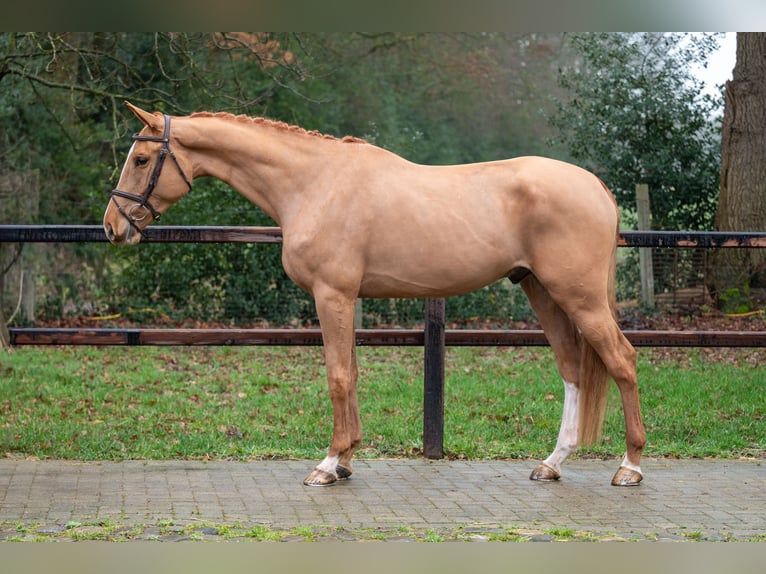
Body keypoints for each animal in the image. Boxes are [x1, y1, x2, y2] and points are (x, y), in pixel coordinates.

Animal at [103, 102, 646, 487]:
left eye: (142, 158)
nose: (113, 226)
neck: (313, 184)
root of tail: (596, 186)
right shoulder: (346, 299)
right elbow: (354, 373)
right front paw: (346, 460)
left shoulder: (333, 296)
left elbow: (338, 376)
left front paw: (327, 465)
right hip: (542, 292)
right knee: (573, 368)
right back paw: (552, 463)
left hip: (579, 297)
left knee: (621, 360)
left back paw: (630, 466)